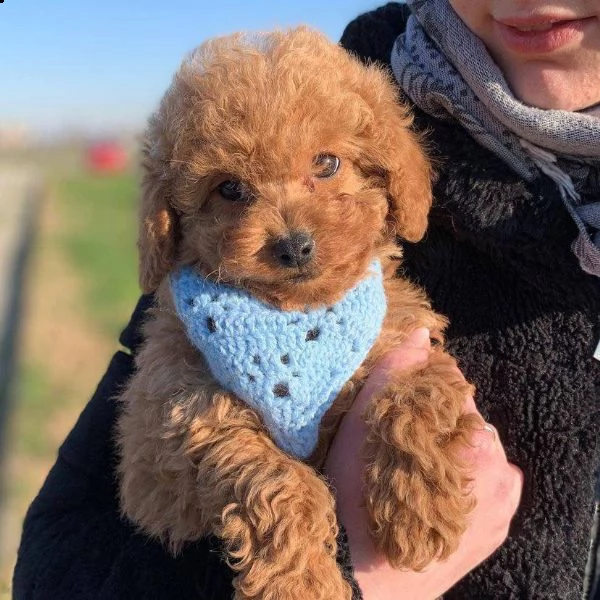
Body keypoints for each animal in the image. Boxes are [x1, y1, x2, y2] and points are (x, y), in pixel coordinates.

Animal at [118, 28, 478, 600]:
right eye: (229, 189)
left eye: (327, 163)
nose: (293, 246)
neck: (295, 319)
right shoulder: (184, 415)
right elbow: (276, 478)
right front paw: (302, 582)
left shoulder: (402, 339)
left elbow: (420, 391)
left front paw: (419, 506)